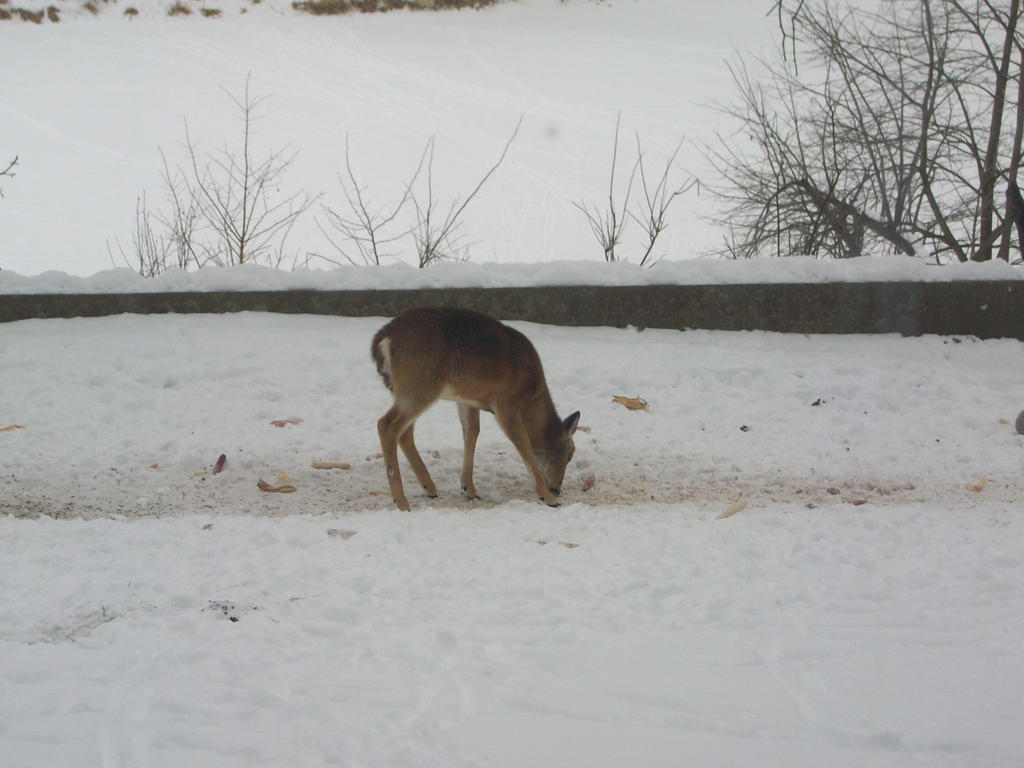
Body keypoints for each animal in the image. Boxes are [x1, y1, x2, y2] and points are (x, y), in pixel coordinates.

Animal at [372, 307, 581, 512]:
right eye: (568, 454)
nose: (557, 489)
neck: (532, 397)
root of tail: (381, 341)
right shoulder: (505, 402)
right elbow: (523, 443)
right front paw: (547, 497)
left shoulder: (467, 399)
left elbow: (471, 432)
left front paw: (468, 488)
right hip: (419, 385)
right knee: (386, 425)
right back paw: (401, 501)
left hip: (408, 390)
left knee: (405, 431)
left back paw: (428, 487)